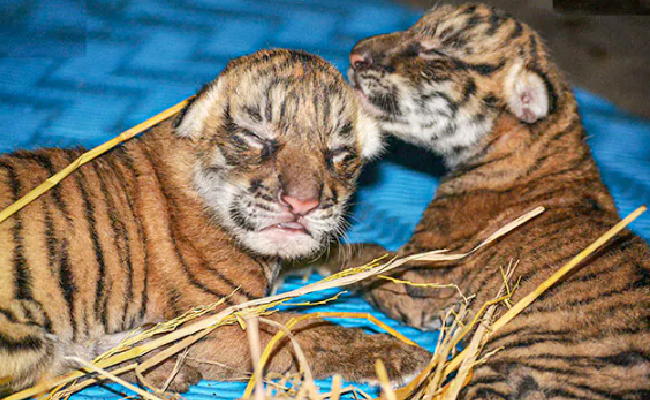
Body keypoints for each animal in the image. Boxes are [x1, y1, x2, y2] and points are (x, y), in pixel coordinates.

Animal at [0, 49, 430, 395]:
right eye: (255, 137)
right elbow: (305, 331)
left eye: (339, 153)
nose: (302, 203)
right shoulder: (213, 322)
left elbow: (355, 254)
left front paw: (417, 281)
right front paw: (398, 353)